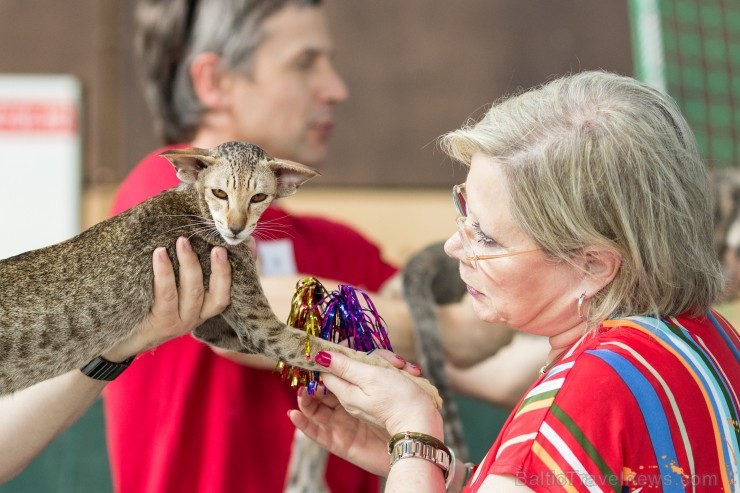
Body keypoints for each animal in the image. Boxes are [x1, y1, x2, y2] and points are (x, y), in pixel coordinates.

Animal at [0, 140, 440, 406]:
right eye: (219, 193)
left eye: (259, 196)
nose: (236, 227)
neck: (194, 205)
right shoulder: (263, 329)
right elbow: (332, 351)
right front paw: (414, 384)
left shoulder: (214, 328)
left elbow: (333, 346)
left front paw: (383, 352)